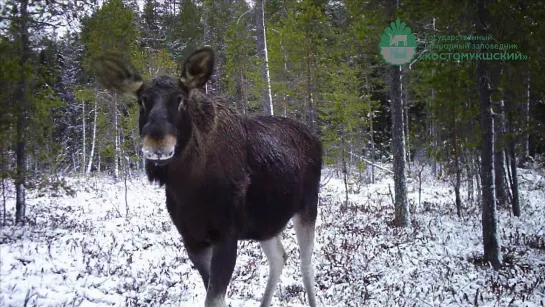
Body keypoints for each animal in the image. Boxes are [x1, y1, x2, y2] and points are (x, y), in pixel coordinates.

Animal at [92, 48, 324, 307]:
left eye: (180, 99)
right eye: (142, 100)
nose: (157, 142)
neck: (189, 188)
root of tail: (316, 139)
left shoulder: (227, 236)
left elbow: (214, 298)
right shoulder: (192, 239)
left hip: (307, 207)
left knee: (306, 265)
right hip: (265, 223)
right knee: (279, 257)